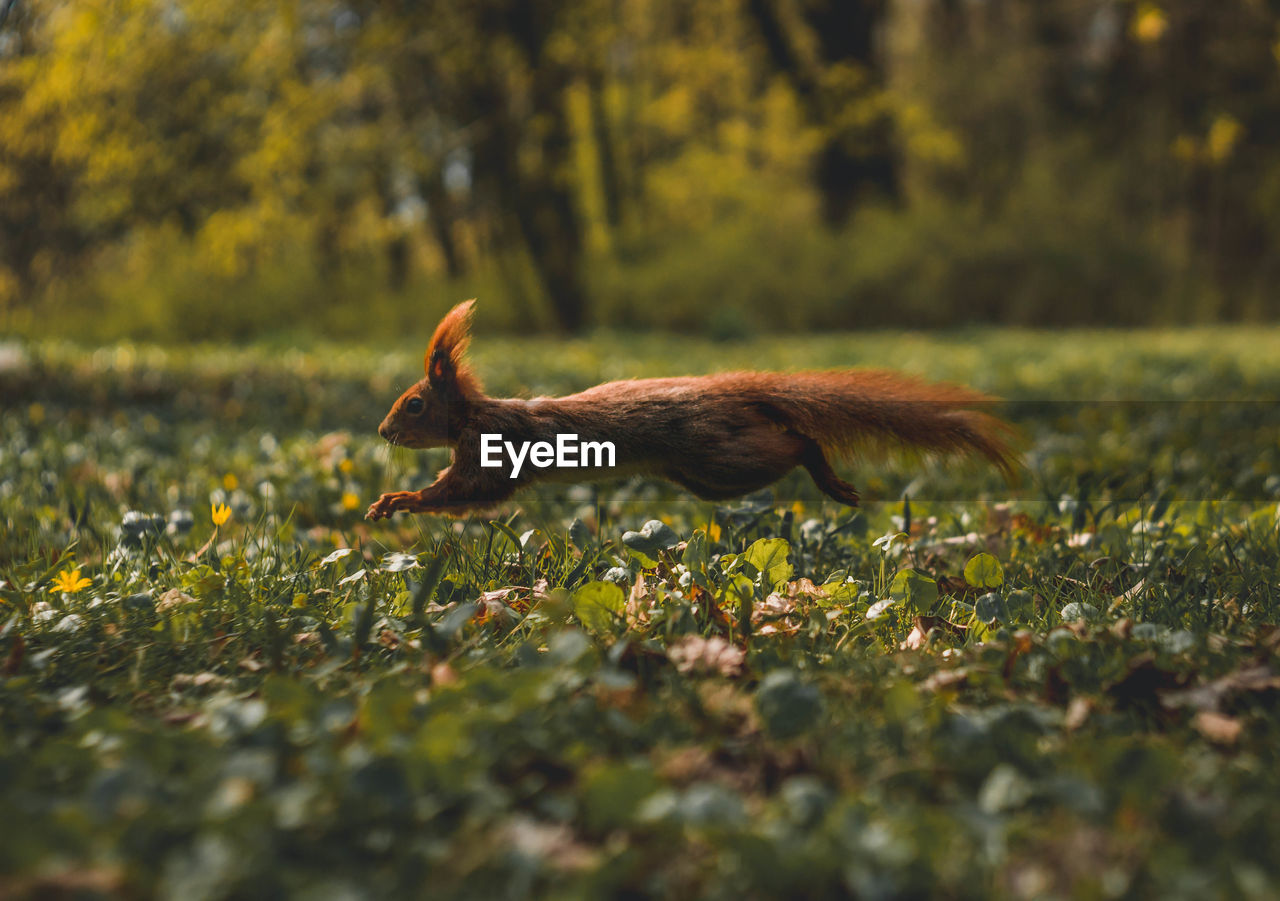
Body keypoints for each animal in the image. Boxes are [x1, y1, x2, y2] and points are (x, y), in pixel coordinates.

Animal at [363, 299, 1018, 517]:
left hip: (719, 459)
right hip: (704, 474)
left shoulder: (490, 455)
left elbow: (465, 493)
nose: (383, 431)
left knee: (796, 443)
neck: (474, 417)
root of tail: (728, 389)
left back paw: (828, 478)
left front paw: (396, 501)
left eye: (414, 404)